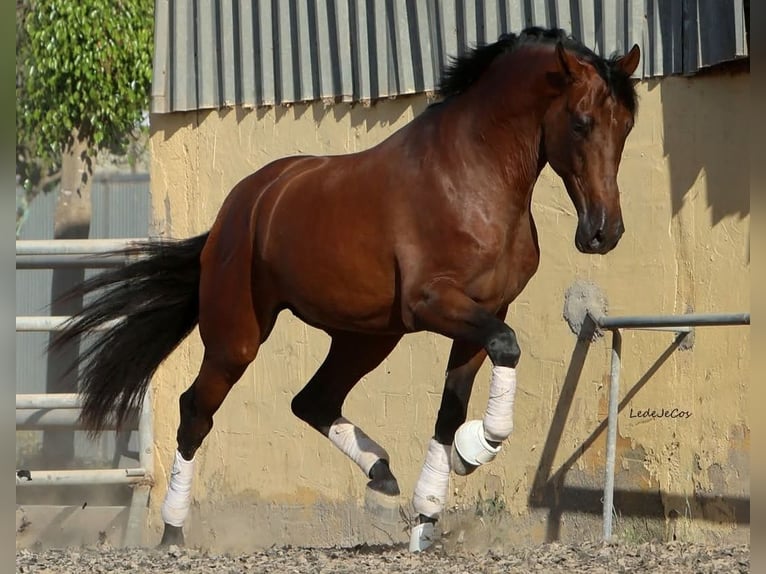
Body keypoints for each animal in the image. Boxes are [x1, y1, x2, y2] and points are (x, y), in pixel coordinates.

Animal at [54, 28, 640, 552]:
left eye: (627, 125)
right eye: (582, 122)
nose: (603, 232)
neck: (474, 178)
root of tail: (238, 209)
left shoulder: (485, 310)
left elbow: (453, 405)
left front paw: (431, 509)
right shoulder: (433, 304)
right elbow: (508, 346)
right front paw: (476, 449)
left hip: (366, 337)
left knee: (312, 400)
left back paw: (380, 471)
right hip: (237, 336)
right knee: (197, 409)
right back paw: (173, 532)